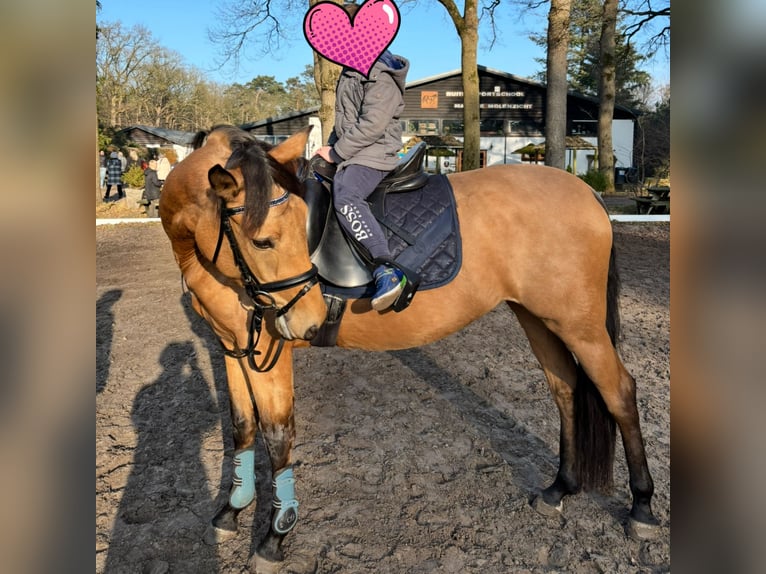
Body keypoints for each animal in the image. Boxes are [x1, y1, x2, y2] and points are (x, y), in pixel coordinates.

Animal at [159, 125, 659, 572]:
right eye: (262, 241)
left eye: (299, 232)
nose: (311, 320)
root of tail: (586, 192)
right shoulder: (232, 346)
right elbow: (241, 425)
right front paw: (231, 511)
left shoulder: (269, 349)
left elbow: (277, 434)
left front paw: (275, 536)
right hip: (539, 319)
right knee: (566, 390)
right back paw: (561, 488)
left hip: (581, 327)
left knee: (619, 392)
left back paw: (642, 508)